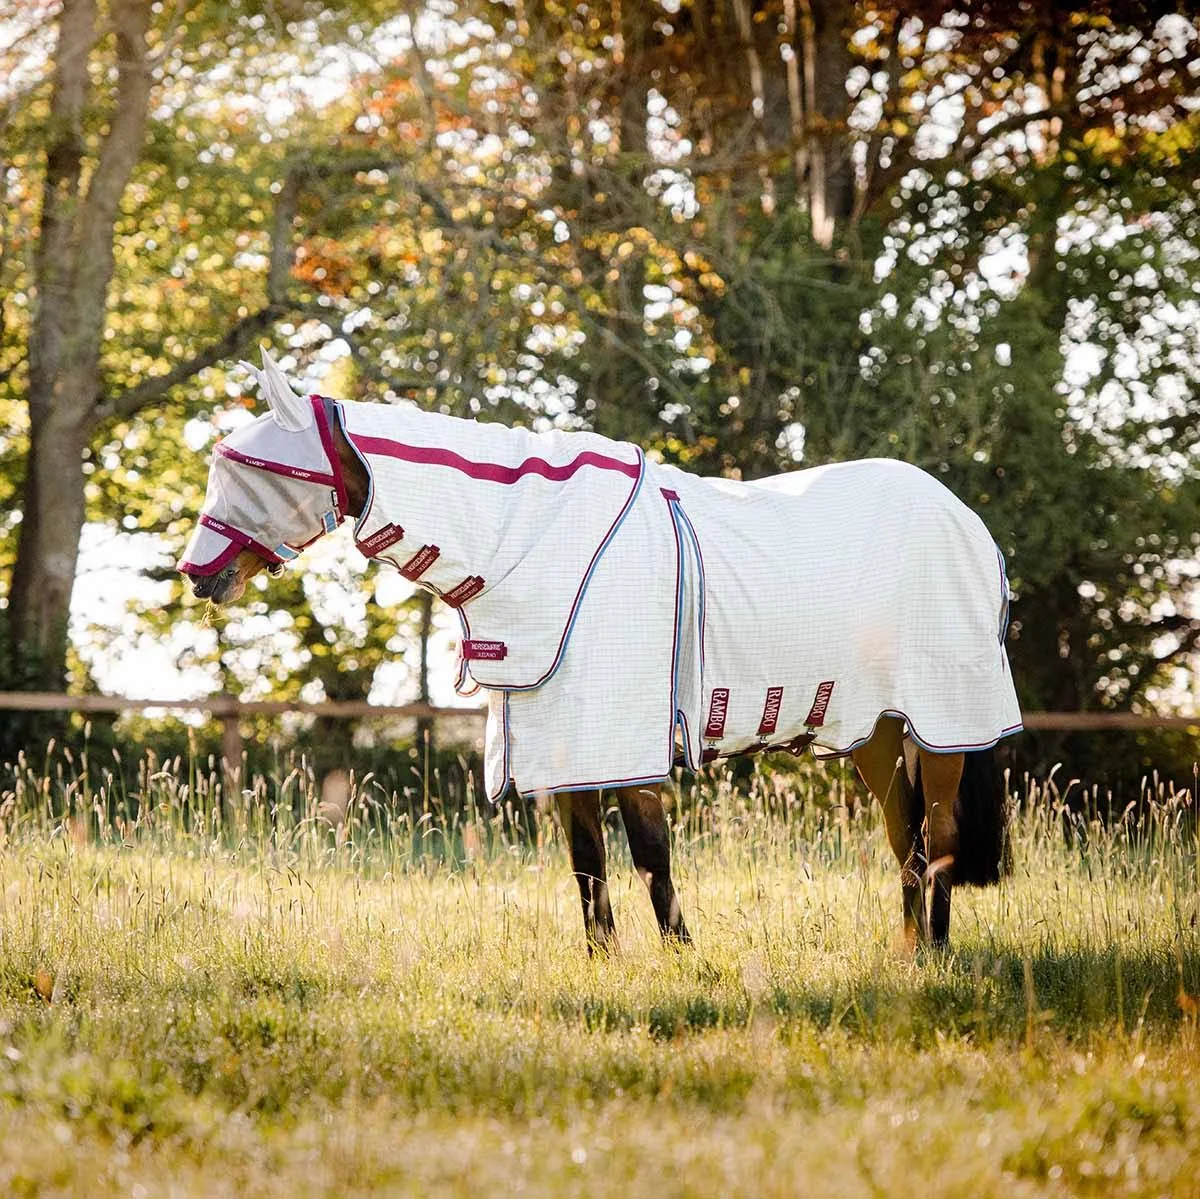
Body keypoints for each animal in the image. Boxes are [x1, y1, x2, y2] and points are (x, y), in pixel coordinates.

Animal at [180, 350, 1022, 955]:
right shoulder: (564, 748)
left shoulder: (620, 741)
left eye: (250, 470)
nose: (197, 574)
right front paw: (604, 962)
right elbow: (587, 861)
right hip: (875, 729)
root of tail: (966, 519)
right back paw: (908, 950)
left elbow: (650, 853)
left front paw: (687, 959)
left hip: (943, 725)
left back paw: (935, 953)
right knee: (906, 836)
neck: (533, 537)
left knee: (938, 837)